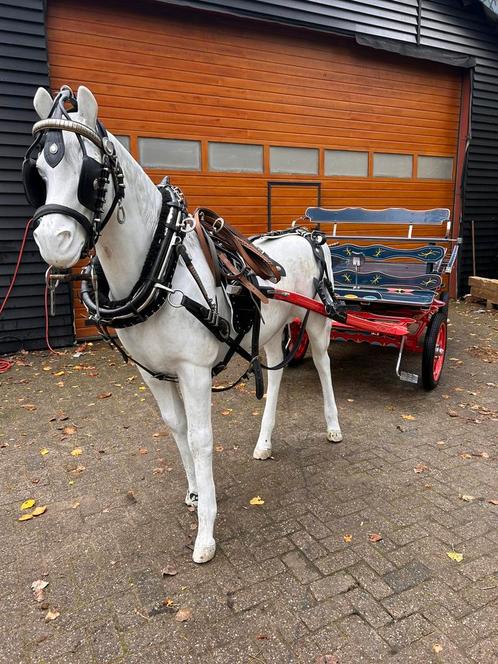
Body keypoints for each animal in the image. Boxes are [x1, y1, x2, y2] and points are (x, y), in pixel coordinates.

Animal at [30, 83, 342, 560]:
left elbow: (199, 438)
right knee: (275, 373)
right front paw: (195, 494)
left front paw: (206, 531)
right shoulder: (153, 373)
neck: (160, 270)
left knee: (323, 364)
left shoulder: (194, 372)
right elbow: (176, 428)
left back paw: (333, 426)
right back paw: (264, 441)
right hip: (271, 328)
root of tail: (307, 233)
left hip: (315, 322)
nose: (52, 241)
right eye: (39, 174)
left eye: (91, 173)